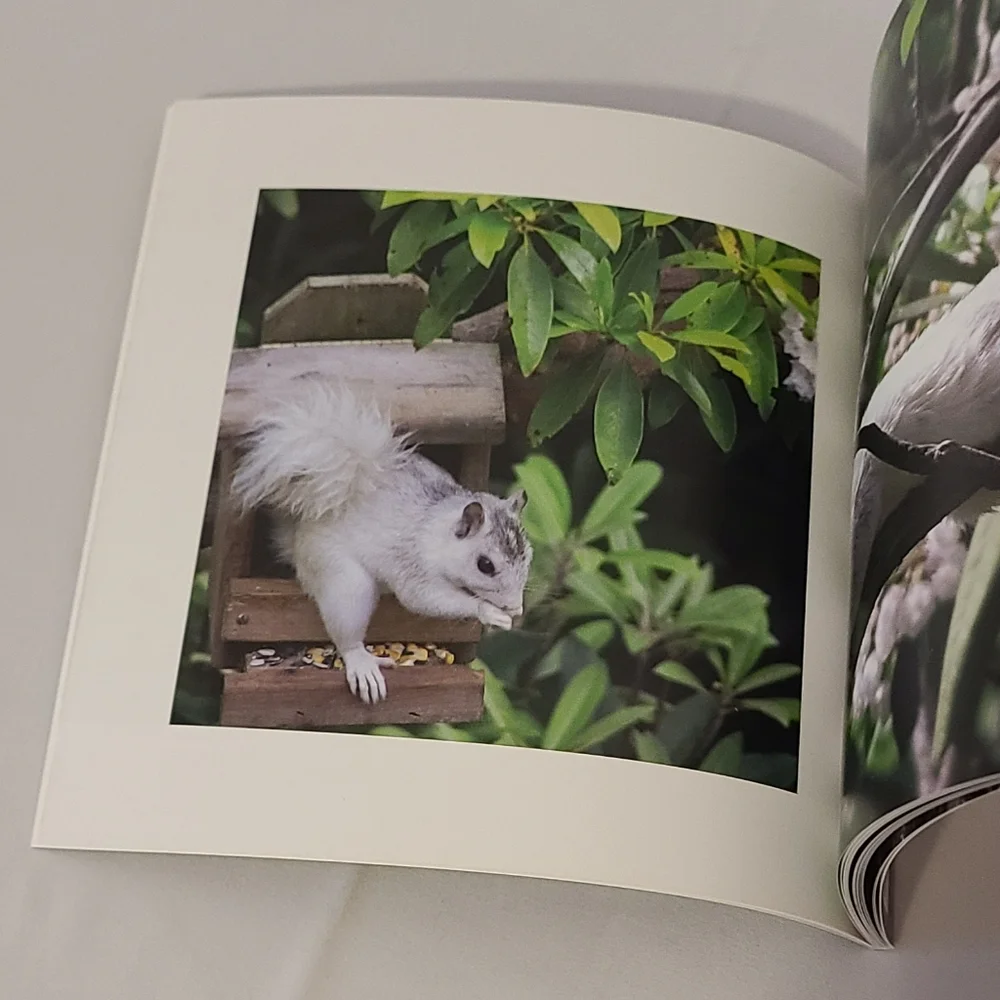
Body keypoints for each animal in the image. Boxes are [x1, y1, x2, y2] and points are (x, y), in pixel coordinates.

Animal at [228, 374, 532, 704]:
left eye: (528, 556)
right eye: (485, 565)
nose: (515, 607)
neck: (435, 532)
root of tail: (297, 538)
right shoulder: (413, 564)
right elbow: (425, 598)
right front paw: (489, 612)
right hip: (344, 581)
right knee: (347, 631)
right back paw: (362, 663)